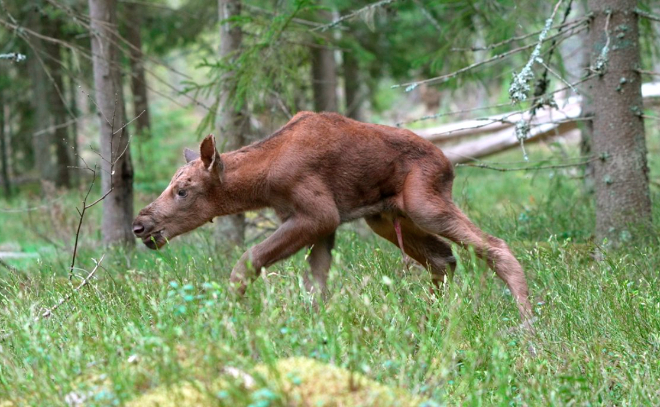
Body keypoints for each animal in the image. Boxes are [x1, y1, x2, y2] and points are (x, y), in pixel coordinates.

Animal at [132, 111, 533, 324]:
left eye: (182, 190)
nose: (140, 225)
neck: (262, 182)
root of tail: (448, 162)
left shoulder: (319, 215)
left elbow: (248, 260)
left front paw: (229, 317)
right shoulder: (325, 224)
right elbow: (316, 285)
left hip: (424, 204)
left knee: (494, 246)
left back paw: (527, 323)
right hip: (385, 217)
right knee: (443, 257)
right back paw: (434, 317)